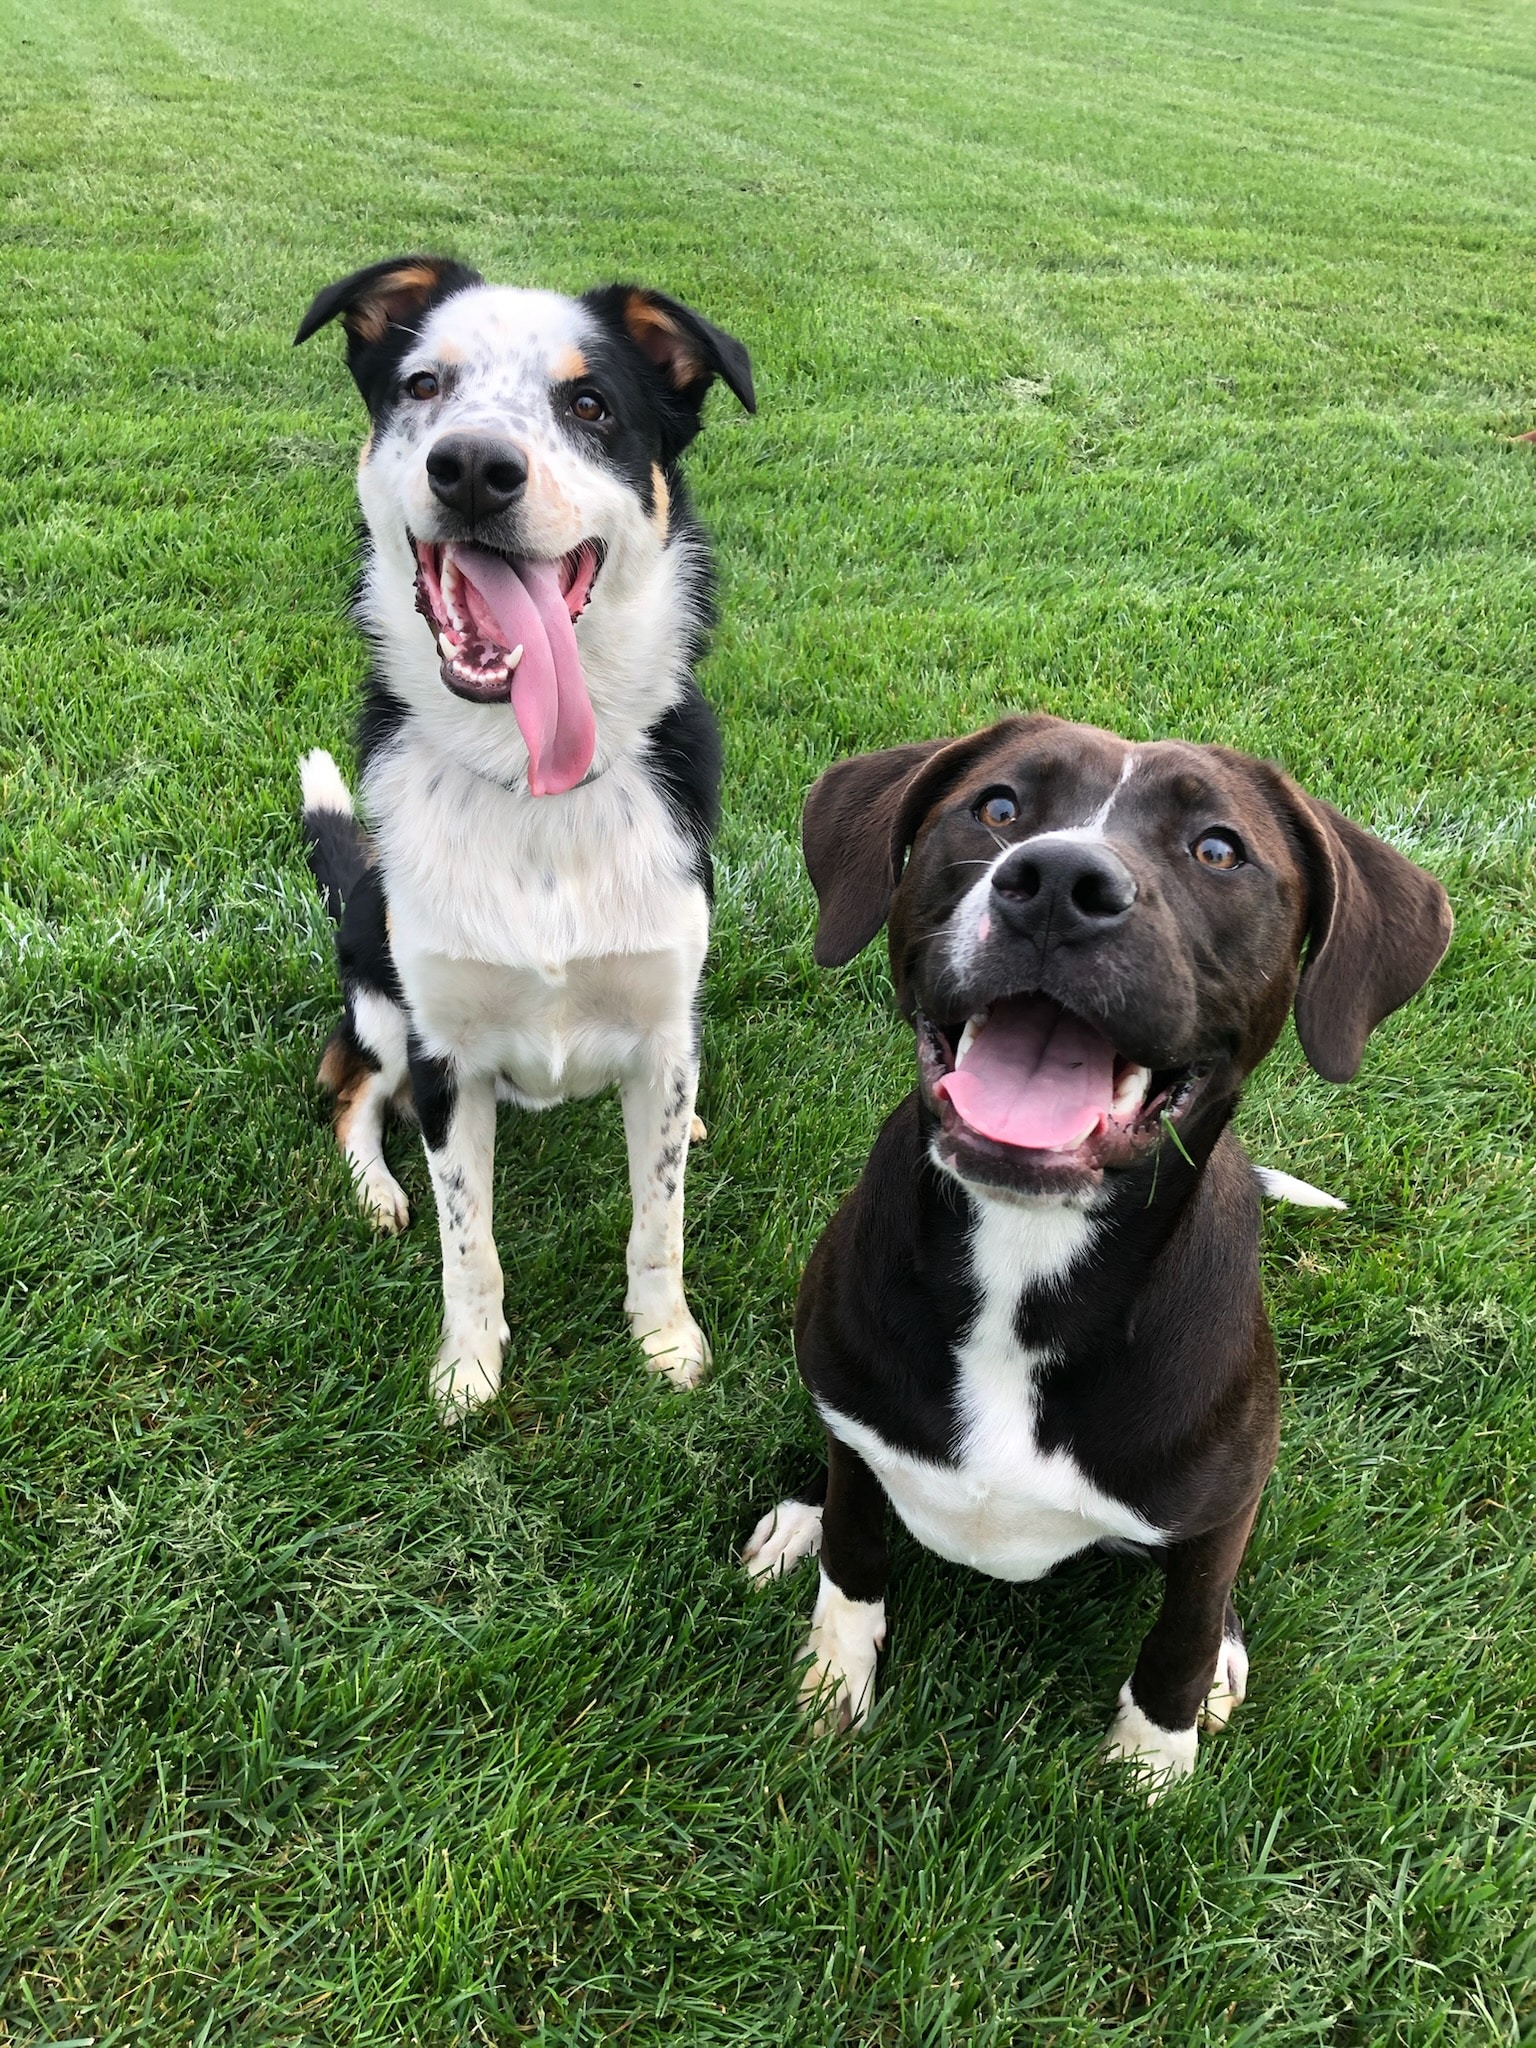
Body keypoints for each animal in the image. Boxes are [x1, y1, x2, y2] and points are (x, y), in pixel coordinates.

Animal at [292, 251, 757, 1409]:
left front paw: (664, 1339)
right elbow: (469, 1241)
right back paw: (376, 1189)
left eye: (590, 406)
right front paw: (468, 1365)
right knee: (349, 1094)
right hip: (375, 990)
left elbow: (659, 1220)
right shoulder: (442, 1052)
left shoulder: (662, 1022)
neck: (533, 785)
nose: (471, 468)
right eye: (424, 385)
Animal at [745, 716, 1458, 1794]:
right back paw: (798, 1516)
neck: (1025, 1251)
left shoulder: (1221, 1502)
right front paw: (835, 1675)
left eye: (1218, 849)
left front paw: (1152, 1763)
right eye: (998, 806)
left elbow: (1182, 1628)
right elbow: (857, 1547)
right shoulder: (857, 1424)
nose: (1055, 883)